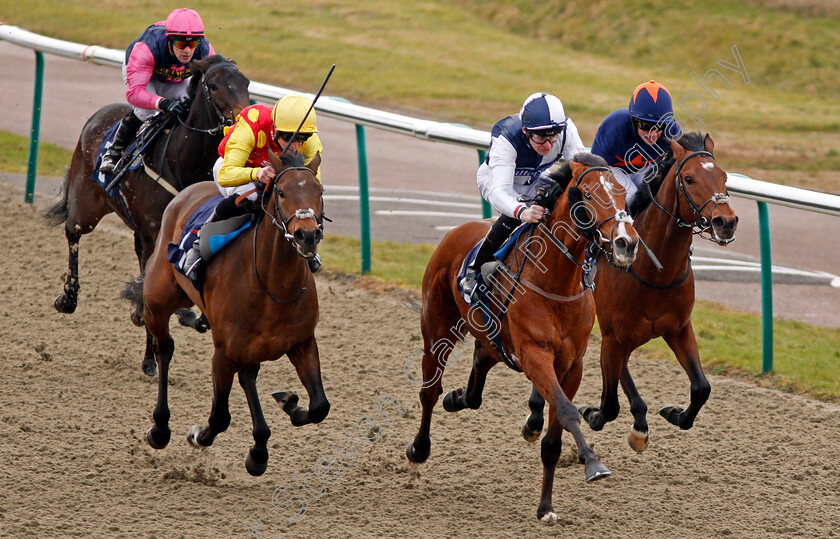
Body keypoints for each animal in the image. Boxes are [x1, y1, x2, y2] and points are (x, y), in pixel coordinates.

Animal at [45, 54, 249, 342]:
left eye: (246, 83)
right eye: (214, 86)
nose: (244, 116)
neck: (183, 162)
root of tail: (99, 115)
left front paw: (188, 315)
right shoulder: (155, 236)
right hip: (86, 205)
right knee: (72, 232)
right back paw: (68, 298)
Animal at [124, 150, 328, 474]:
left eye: (319, 191)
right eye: (282, 192)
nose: (307, 235)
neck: (274, 286)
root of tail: (187, 191)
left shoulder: (302, 342)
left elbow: (320, 406)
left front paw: (289, 406)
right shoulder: (224, 352)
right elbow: (220, 416)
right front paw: (197, 435)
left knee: (247, 375)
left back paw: (260, 445)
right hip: (159, 301)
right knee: (164, 349)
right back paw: (160, 427)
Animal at [404, 153, 640, 524]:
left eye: (621, 192)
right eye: (587, 194)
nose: (626, 243)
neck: (558, 285)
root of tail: (455, 232)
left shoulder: (572, 366)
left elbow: (553, 439)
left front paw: (546, 507)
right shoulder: (535, 355)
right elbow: (568, 412)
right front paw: (593, 463)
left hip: (493, 340)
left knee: (479, 368)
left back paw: (457, 398)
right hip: (437, 329)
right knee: (429, 391)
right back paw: (419, 447)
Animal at [520, 133, 740, 454]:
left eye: (724, 177)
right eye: (689, 179)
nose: (726, 222)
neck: (655, 272)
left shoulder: (678, 328)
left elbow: (701, 388)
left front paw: (673, 414)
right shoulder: (613, 337)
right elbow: (609, 405)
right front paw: (592, 413)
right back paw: (537, 414)